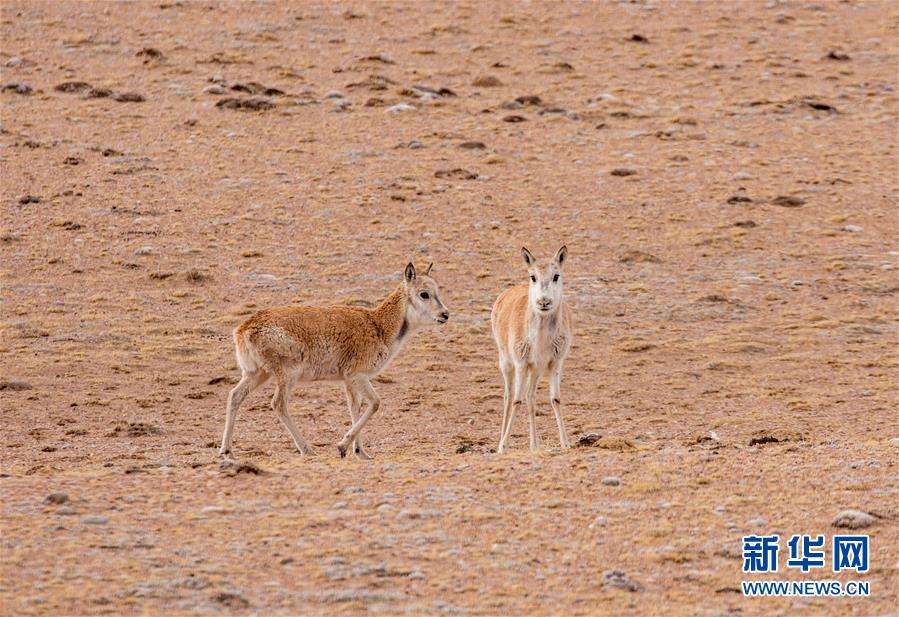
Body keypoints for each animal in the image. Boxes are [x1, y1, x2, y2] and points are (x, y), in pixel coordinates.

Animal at [221, 260, 450, 458]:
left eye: (437, 292)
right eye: (424, 294)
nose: (445, 314)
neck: (379, 326)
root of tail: (245, 328)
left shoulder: (348, 381)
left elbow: (355, 408)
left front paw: (360, 452)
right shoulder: (358, 376)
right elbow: (375, 403)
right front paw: (342, 446)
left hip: (257, 374)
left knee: (235, 395)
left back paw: (226, 450)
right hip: (286, 375)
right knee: (278, 404)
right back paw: (307, 449)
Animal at [488, 245, 572, 452]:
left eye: (556, 275)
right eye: (532, 276)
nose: (544, 301)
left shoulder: (555, 363)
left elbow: (555, 399)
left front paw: (565, 443)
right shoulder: (520, 364)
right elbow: (516, 400)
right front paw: (504, 446)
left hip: (536, 370)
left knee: (530, 396)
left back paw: (534, 445)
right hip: (507, 363)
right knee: (509, 396)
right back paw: (501, 442)